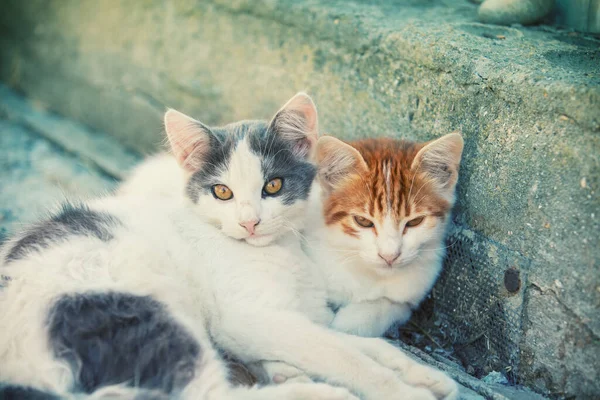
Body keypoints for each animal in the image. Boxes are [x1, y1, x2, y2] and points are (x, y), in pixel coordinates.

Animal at [304, 134, 464, 338]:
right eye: (362, 221)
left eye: (415, 221)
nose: (389, 256)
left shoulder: (415, 289)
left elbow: (389, 304)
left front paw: (350, 323)